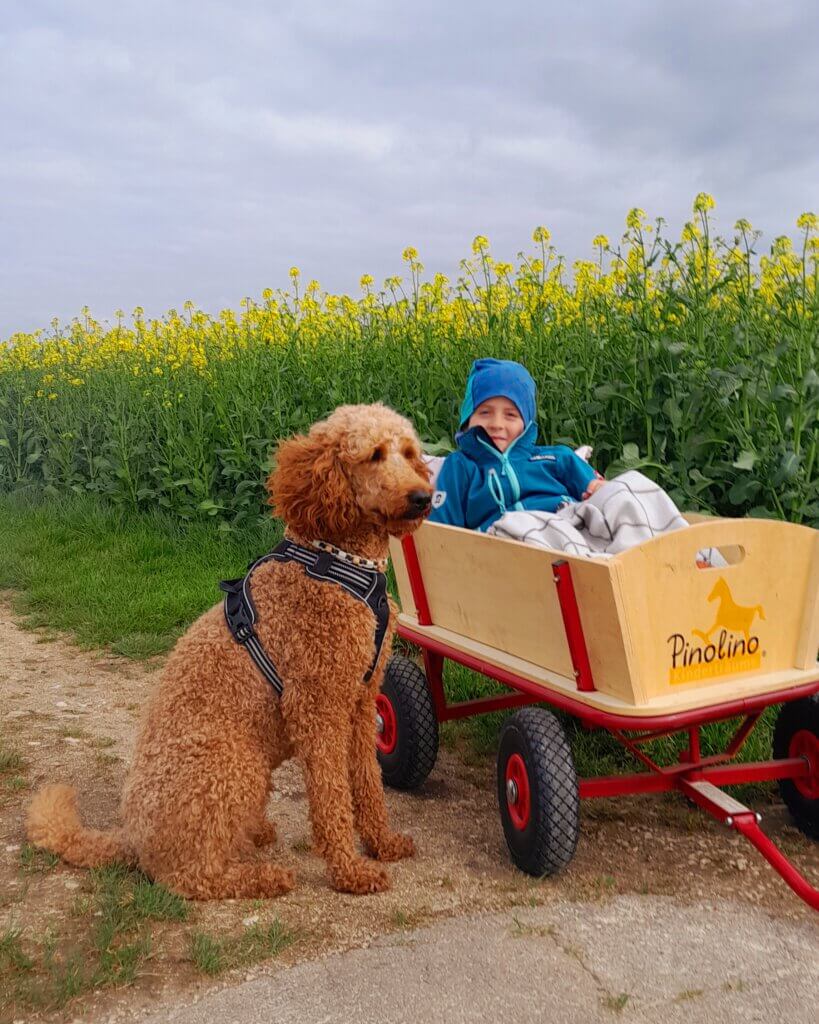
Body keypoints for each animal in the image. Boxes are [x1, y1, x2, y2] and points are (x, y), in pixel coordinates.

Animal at [26, 403, 434, 901]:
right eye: (373, 455)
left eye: (409, 452)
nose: (422, 497)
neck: (339, 562)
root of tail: (131, 838)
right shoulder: (317, 707)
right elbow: (332, 797)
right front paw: (350, 871)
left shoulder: (360, 700)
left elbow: (369, 784)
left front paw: (383, 843)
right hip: (235, 765)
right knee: (188, 878)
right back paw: (263, 876)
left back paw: (254, 835)